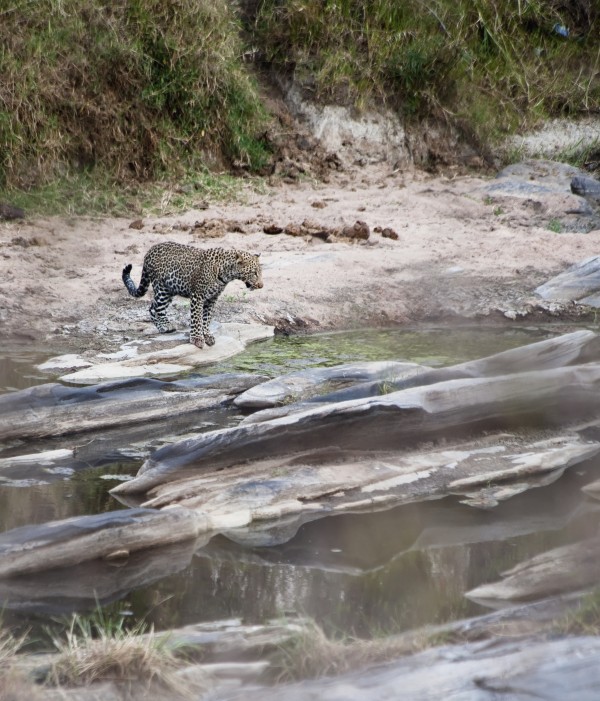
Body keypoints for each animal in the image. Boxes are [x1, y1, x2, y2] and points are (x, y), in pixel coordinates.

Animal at [122, 241, 263, 348]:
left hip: (170, 289)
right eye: (254, 273)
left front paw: (207, 335)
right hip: (162, 288)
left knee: (152, 306)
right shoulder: (198, 295)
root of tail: (149, 251)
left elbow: (206, 318)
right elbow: (197, 318)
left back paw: (162, 327)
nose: (261, 285)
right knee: (157, 308)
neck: (226, 273)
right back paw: (165, 326)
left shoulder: (212, 298)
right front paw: (197, 339)